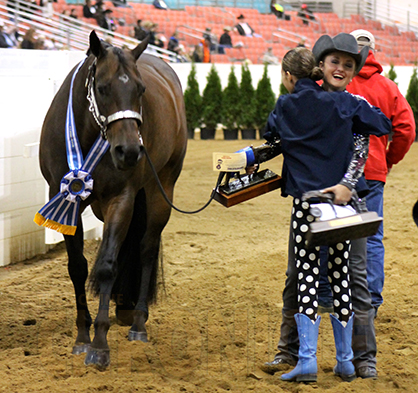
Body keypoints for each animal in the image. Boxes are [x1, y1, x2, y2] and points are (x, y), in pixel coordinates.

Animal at [37, 31, 188, 368]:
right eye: (103, 88)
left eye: (140, 89)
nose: (129, 152)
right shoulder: (65, 199)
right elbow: (77, 267)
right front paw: (82, 337)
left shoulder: (122, 199)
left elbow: (107, 265)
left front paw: (100, 344)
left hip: (161, 189)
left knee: (146, 248)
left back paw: (138, 322)